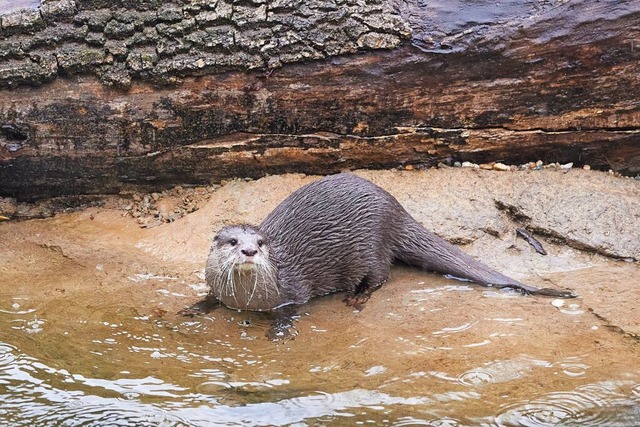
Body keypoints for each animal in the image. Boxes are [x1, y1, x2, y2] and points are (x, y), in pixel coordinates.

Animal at [180, 173, 576, 338]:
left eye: (261, 243)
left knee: (382, 274)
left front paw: (278, 334)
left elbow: (290, 312)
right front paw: (192, 309)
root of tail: (395, 209)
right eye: (233, 241)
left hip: (368, 248)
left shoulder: (290, 292)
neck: (245, 300)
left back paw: (358, 297)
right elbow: (210, 298)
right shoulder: (222, 291)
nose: (248, 250)